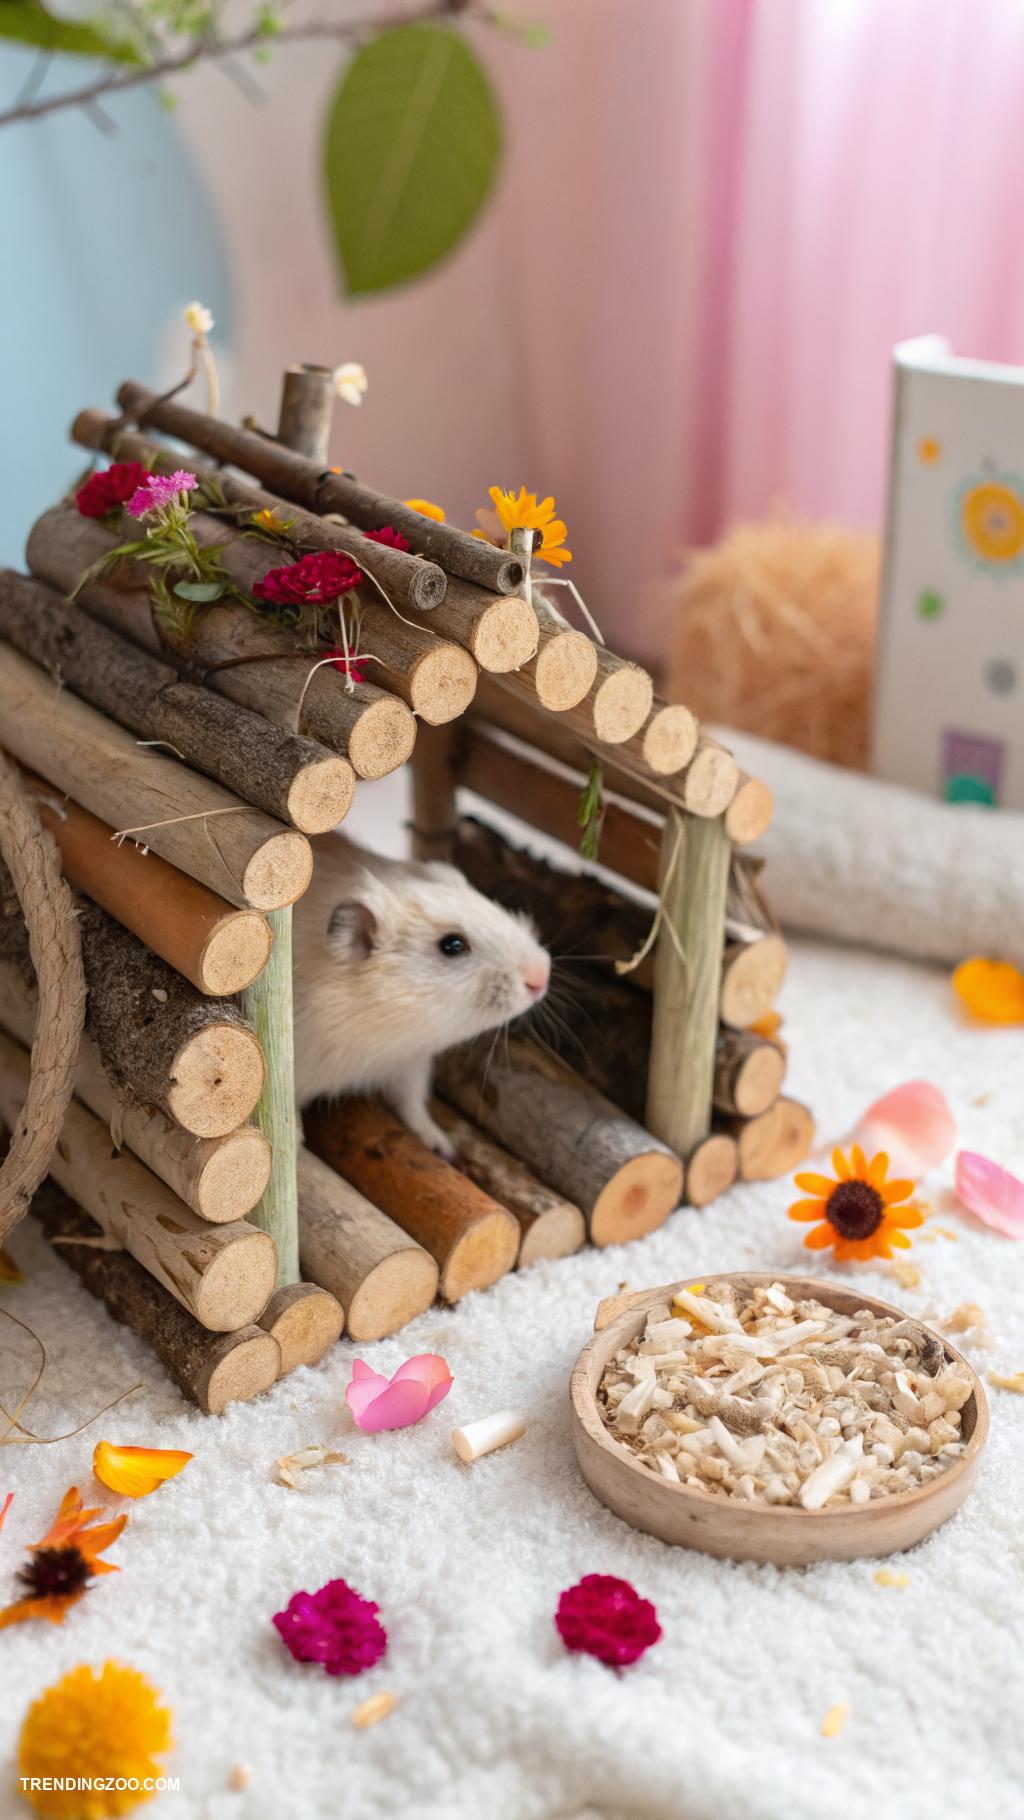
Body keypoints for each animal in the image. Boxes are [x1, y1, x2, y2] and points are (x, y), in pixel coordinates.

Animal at [291, 834, 551, 1155]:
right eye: (452, 945)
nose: (542, 975)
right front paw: (295, 1141)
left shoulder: (410, 1065)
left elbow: (413, 1105)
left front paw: (442, 1146)